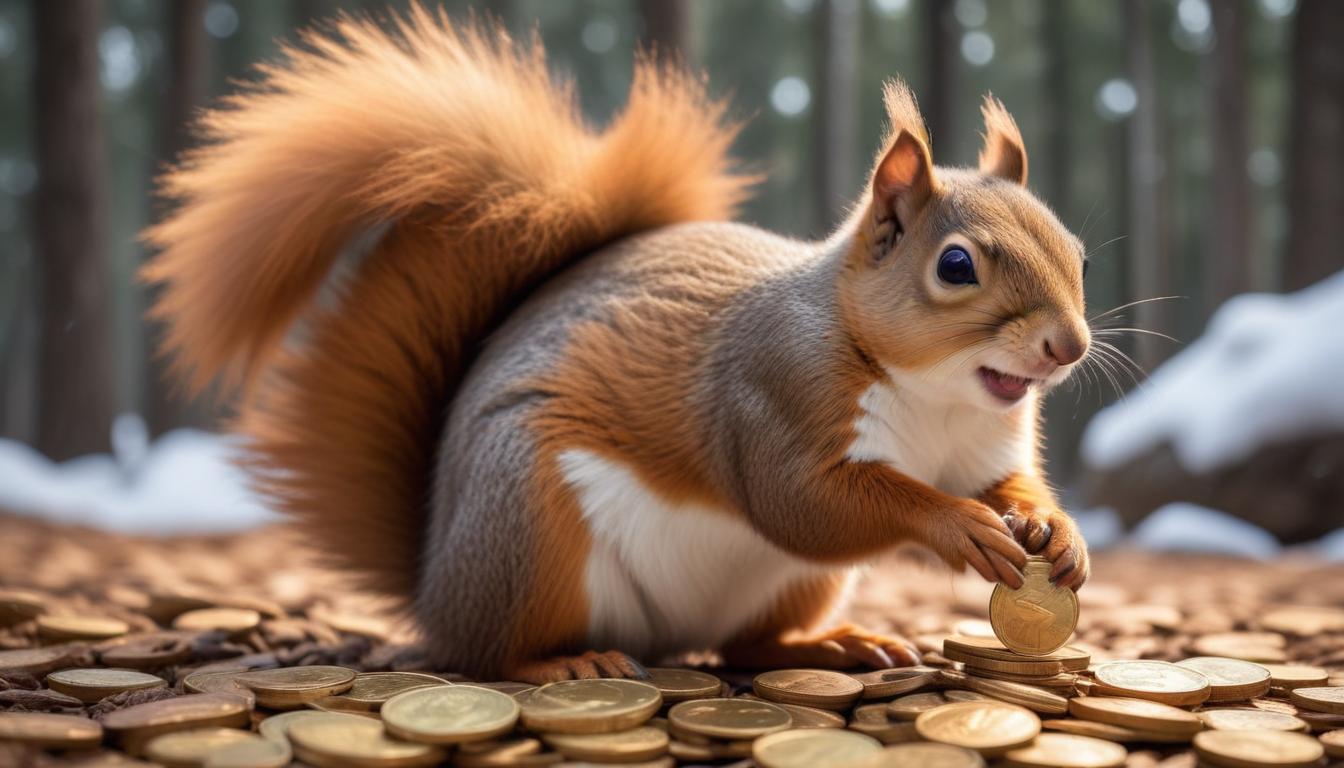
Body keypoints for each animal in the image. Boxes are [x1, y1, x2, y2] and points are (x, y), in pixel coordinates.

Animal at [144, 7, 1091, 684]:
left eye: (1076, 250)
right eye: (956, 265)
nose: (1069, 348)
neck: (933, 395)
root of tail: (434, 583)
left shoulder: (985, 445)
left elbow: (1007, 486)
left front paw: (1057, 531)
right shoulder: (772, 395)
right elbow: (807, 503)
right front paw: (955, 525)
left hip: (787, 583)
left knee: (744, 647)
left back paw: (829, 647)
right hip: (529, 522)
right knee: (484, 654)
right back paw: (563, 662)